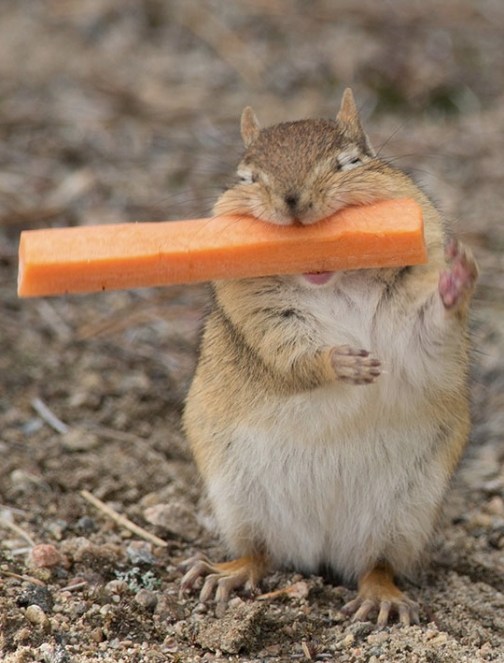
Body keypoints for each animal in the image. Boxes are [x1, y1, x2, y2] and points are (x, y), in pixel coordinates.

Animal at [181, 89, 478, 627]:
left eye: (351, 161)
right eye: (246, 176)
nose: (292, 200)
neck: (334, 283)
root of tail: (320, 547)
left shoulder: (411, 323)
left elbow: (428, 331)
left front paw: (458, 279)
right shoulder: (259, 317)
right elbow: (291, 355)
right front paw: (342, 363)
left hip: (405, 515)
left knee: (375, 565)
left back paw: (381, 598)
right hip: (238, 500)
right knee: (261, 552)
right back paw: (225, 572)